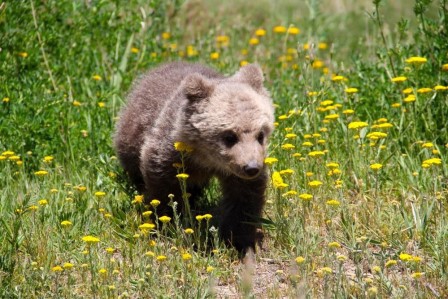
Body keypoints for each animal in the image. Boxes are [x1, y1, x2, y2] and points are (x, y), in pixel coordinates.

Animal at [114, 62, 274, 253]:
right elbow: (163, 187)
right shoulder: (171, 153)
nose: (251, 168)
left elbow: (243, 200)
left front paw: (238, 240)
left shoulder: (238, 174)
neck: (207, 159)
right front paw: (165, 222)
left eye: (260, 134)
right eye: (230, 136)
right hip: (133, 131)